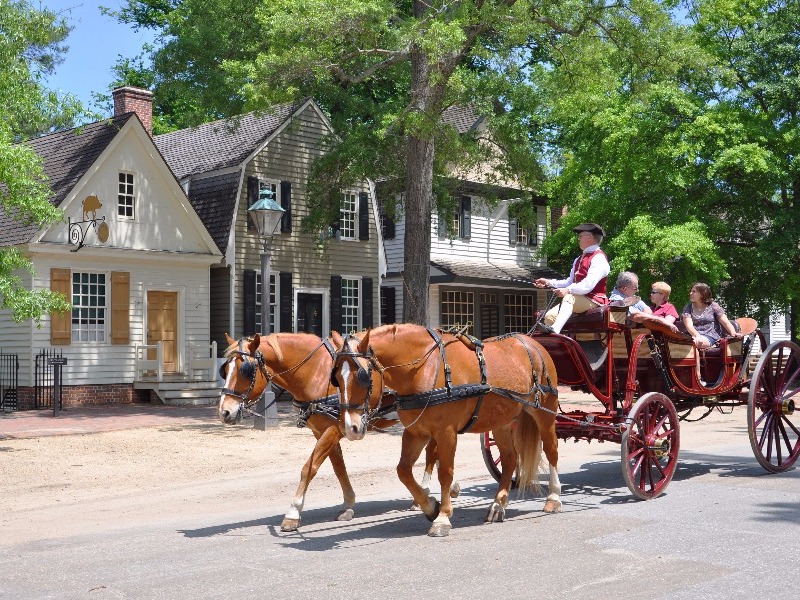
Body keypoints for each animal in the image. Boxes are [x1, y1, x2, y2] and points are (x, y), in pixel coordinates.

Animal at [216, 330, 454, 532]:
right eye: (225, 370)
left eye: (246, 371)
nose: (224, 412)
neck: (315, 371)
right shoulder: (324, 430)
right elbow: (338, 467)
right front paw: (347, 504)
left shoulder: (332, 429)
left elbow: (309, 468)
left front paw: (293, 512)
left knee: (432, 454)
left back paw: (425, 494)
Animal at [332, 326, 564, 536]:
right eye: (336, 378)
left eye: (363, 377)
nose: (350, 427)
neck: (423, 368)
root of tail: (532, 343)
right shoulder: (416, 432)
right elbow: (403, 471)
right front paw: (430, 506)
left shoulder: (446, 432)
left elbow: (445, 473)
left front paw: (442, 517)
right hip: (501, 422)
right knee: (509, 459)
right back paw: (498, 505)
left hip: (544, 413)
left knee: (551, 451)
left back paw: (553, 498)